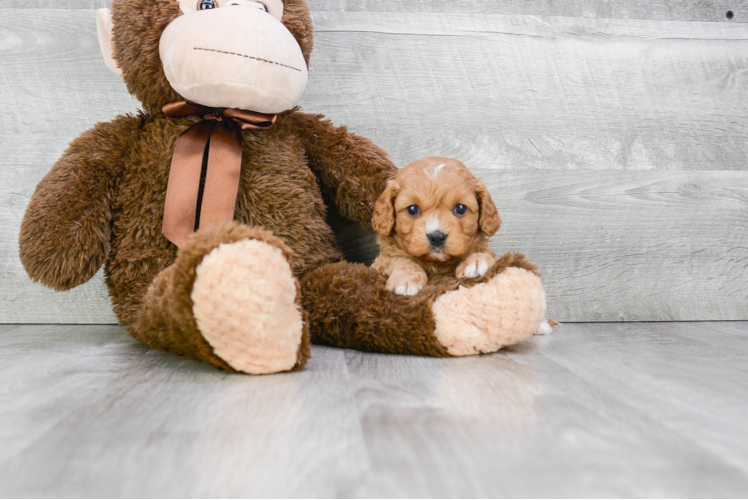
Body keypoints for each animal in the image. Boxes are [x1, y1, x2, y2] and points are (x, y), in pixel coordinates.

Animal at [370, 158, 500, 294]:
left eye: (460, 208)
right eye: (412, 209)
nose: (437, 237)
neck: (436, 264)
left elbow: (484, 252)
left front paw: (477, 259)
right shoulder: (381, 261)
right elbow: (399, 259)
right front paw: (406, 279)